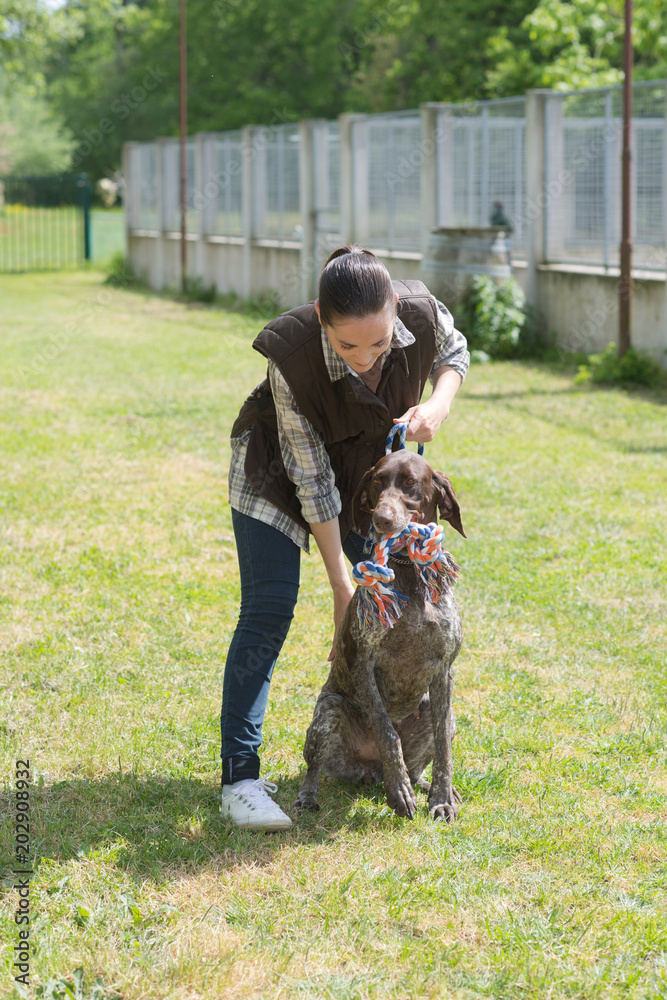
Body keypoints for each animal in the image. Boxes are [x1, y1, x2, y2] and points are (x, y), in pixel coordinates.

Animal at [294, 452, 468, 820]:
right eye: (376, 481)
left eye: (410, 482)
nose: (381, 519)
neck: (408, 571)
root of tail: (369, 772)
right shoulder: (363, 662)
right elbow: (387, 732)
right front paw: (398, 789)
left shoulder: (445, 670)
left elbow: (443, 749)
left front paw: (442, 797)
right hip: (328, 711)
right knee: (314, 767)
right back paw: (308, 796)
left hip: (437, 711)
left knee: (422, 761)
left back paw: (424, 784)